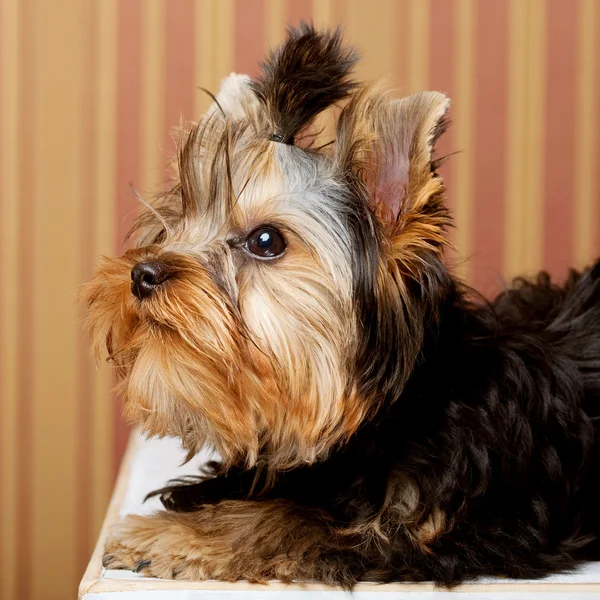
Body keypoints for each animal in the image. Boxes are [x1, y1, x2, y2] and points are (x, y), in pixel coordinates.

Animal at [83, 25, 600, 588]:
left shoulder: (438, 526)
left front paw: (167, 536)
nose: (142, 274)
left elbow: (289, 520)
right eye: (176, 222)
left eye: (266, 241)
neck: (393, 406)